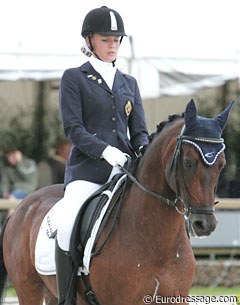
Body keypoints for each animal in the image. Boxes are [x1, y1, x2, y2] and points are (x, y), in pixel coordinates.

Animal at [0, 98, 233, 304]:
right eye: (188, 162)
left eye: (221, 164)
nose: (204, 224)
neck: (157, 241)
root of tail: (22, 207)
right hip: (29, 290)